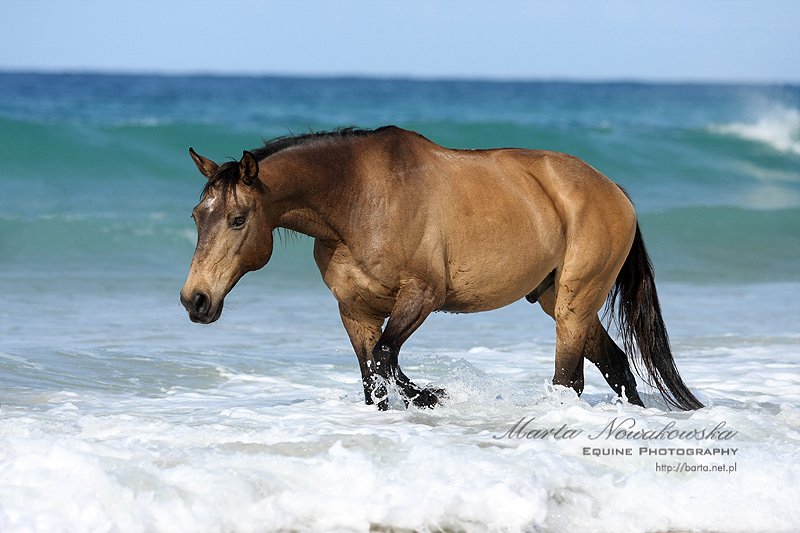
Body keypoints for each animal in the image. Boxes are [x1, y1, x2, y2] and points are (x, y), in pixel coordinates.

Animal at [180, 127, 700, 410]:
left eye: (238, 219)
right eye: (197, 216)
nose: (195, 300)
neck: (358, 200)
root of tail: (614, 189)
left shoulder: (422, 296)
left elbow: (386, 360)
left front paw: (434, 395)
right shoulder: (355, 311)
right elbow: (372, 377)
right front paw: (421, 398)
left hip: (576, 300)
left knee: (570, 378)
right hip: (558, 299)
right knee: (616, 366)